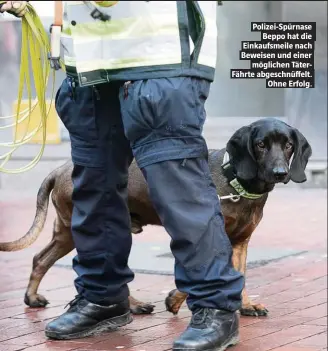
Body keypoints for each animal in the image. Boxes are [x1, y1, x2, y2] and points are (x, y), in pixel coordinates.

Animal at [0, 119, 312, 318]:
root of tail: (61, 169)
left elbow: (241, 276)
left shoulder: (240, 242)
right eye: (260, 144)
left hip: (66, 232)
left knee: (40, 258)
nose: (281, 173)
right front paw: (174, 300)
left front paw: (247, 305)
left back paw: (32, 298)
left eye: (287, 145)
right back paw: (132, 306)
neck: (234, 182)